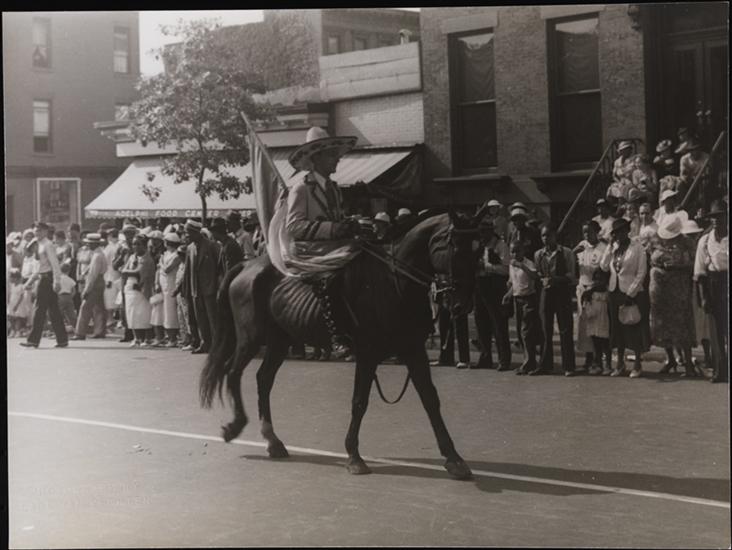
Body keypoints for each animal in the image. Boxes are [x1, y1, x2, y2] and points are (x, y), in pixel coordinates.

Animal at [199, 211, 479, 479]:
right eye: (454, 246)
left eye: (476, 249)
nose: (462, 304)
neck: (392, 282)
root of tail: (247, 264)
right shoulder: (367, 352)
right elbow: (359, 401)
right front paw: (354, 456)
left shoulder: (413, 349)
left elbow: (430, 399)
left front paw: (454, 458)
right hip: (250, 338)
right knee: (233, 372)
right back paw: (235, 426)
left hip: (279, 341)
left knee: (263, 379)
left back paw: (273, 441)